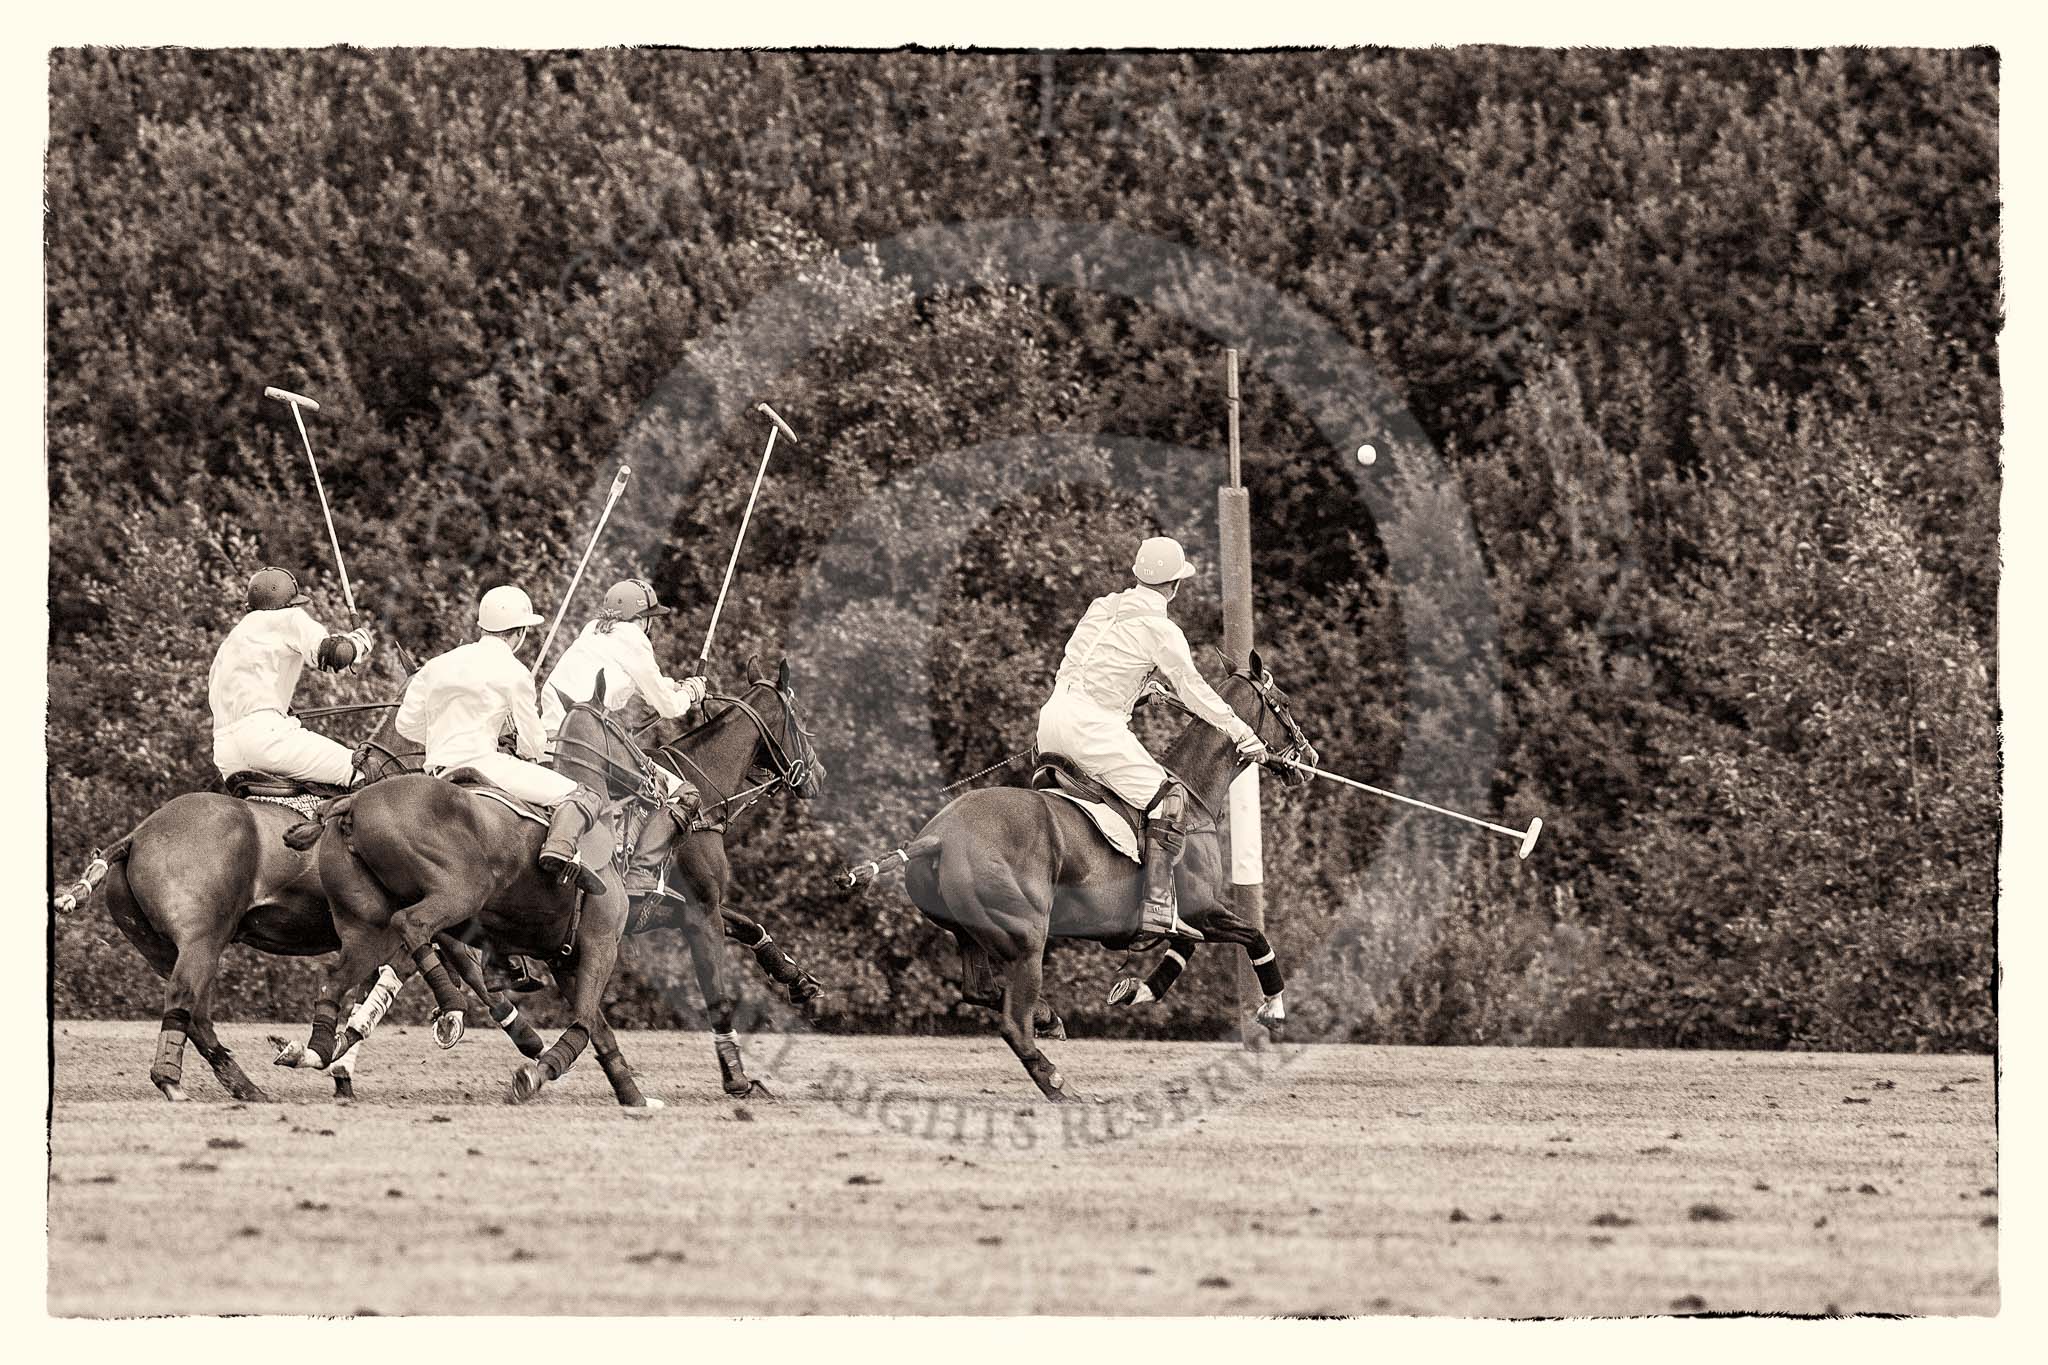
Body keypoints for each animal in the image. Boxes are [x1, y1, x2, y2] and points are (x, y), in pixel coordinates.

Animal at [843, 650, 1310, 1096]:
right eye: (1284, 703)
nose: (1309, 757)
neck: (1194, 797)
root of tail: (936, 837)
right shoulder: (1200, 908)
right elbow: (1255, 936)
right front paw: (1273, 1009)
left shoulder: (1190, 917)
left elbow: (1186, 946)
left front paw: (1135, 989)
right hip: (1027, 934)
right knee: (1012, 1022)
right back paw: (1056, 1082)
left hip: (970, 932)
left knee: (979, 990)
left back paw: (1048, 1018)